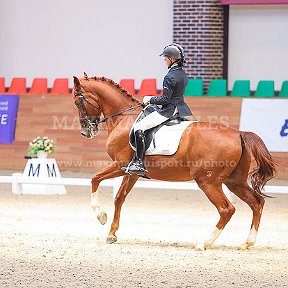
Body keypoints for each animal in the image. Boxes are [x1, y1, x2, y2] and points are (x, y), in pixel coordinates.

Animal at [72, 74, 276, 250]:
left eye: (78, 101)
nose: (86, 132)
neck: (124, 119)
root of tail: (238, 134)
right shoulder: (132, 172)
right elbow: (119, 197)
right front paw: (112, 234)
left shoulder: (119, 164)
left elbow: (95, 179)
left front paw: (101, 216)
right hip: (234, 181)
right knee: (257, 203)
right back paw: (247, 243)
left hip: (208, 181)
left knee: (227, 209)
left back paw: (204, 243)